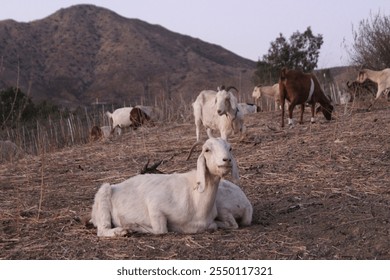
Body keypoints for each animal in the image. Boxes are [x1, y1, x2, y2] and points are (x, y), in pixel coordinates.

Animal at [90, 137, 238, 236]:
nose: (226, 160)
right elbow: (160, 230)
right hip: (104, 193)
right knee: (102, 230)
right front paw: (133, 226)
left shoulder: (209, 223)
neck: (196, 199)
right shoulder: (154, 205)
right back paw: (121, 231)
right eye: (207, 150)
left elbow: (216, 226)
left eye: (230, 148)